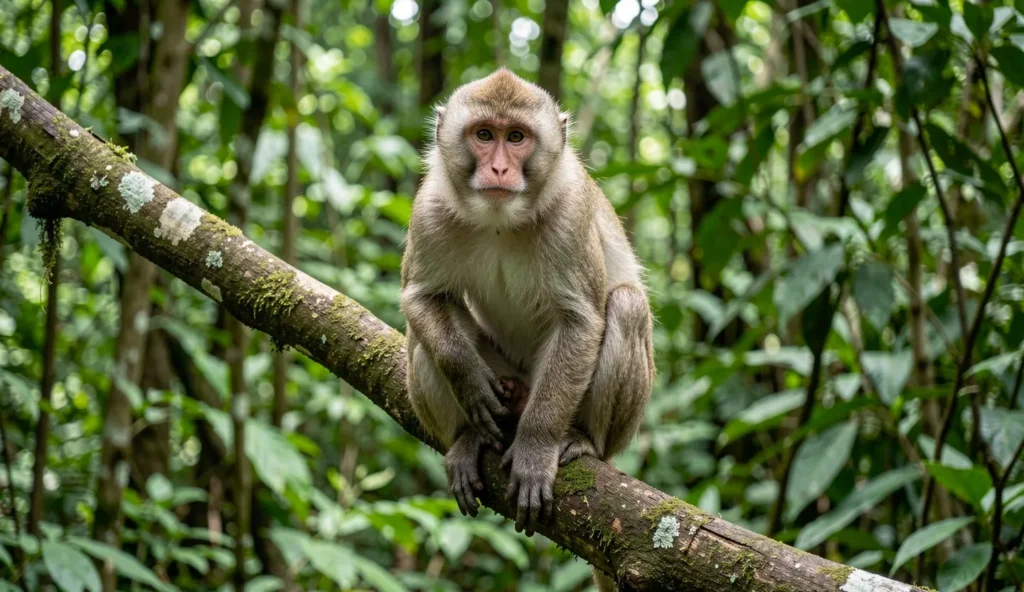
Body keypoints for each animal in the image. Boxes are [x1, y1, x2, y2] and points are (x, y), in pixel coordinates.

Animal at [400, 70, 654, 574]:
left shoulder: (570, 216)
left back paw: (582, 439)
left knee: (627, 305)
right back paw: (466, 438)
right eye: (484, 135)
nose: (499, 169)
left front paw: (537, 450)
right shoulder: (429, 210)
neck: (500, 219)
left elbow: (580, 321)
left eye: (516, 138)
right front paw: (469, 380)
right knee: (420, 338)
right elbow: (420, 298)